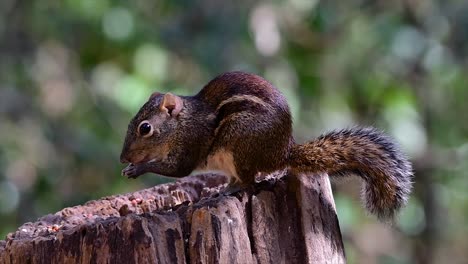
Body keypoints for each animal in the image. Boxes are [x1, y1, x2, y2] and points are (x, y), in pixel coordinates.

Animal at [119, 71, 414, 220]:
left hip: (240, 145)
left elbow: (178, 169)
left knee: (250, 182)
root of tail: (283, 153)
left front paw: (137, 169)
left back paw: (229, 191)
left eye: (145, 128)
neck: (182, 123)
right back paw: (218, 191)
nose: (123, 158)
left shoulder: (191, 144)